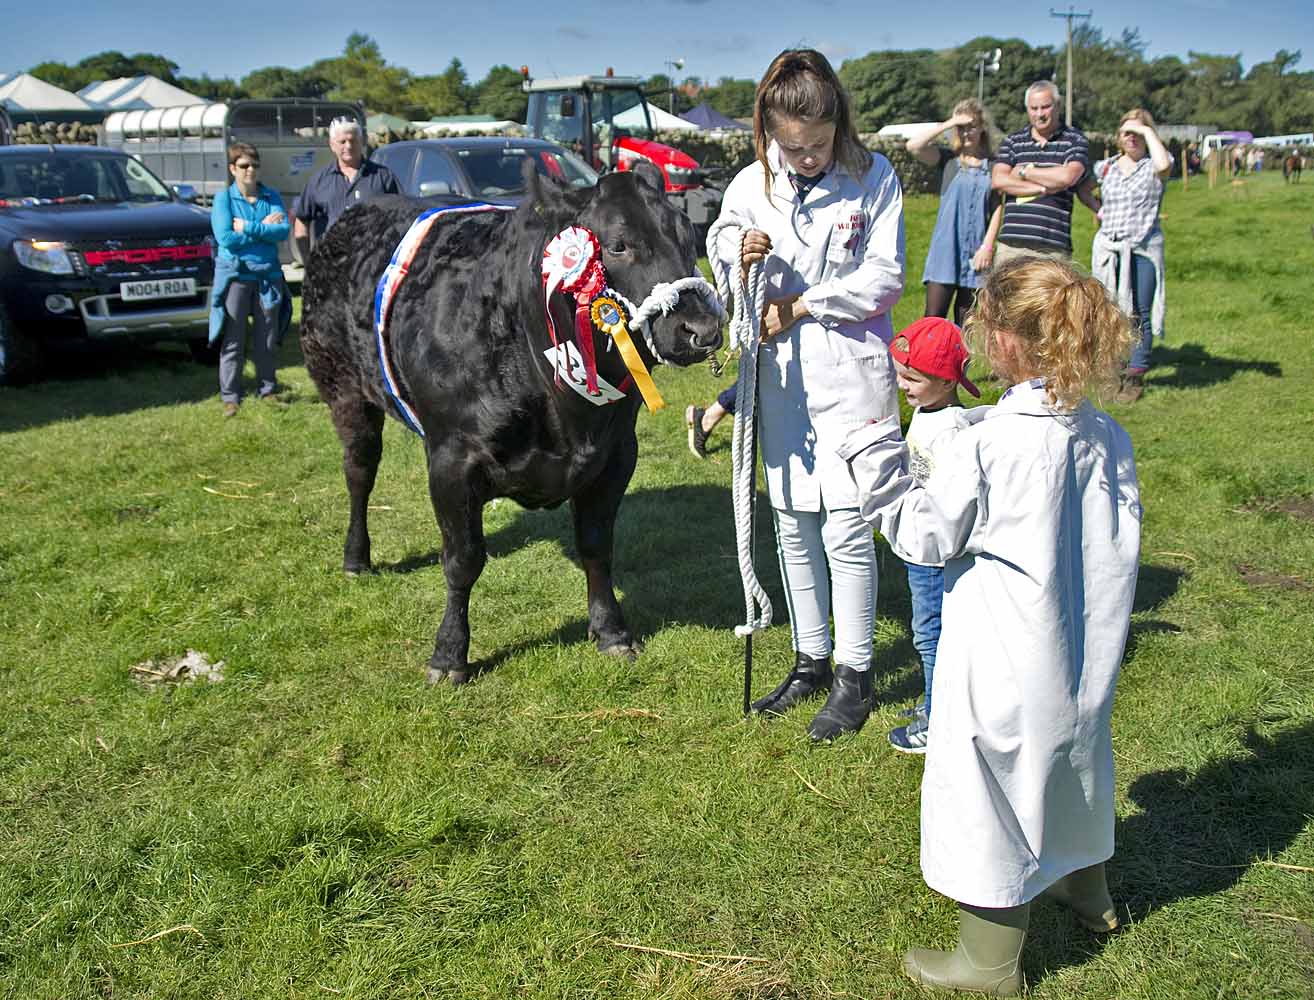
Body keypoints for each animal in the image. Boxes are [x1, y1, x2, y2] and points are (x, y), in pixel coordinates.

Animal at [302, 163, 725, 683]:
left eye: (688, 235)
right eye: (619, 244)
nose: (702, 329)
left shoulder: (616, 453)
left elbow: (596, 545)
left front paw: (611, 631)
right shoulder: (451, 459)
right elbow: (462, 560)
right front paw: (449, 655)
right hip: (343, 390)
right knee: (359, 472)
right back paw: (356, 558)